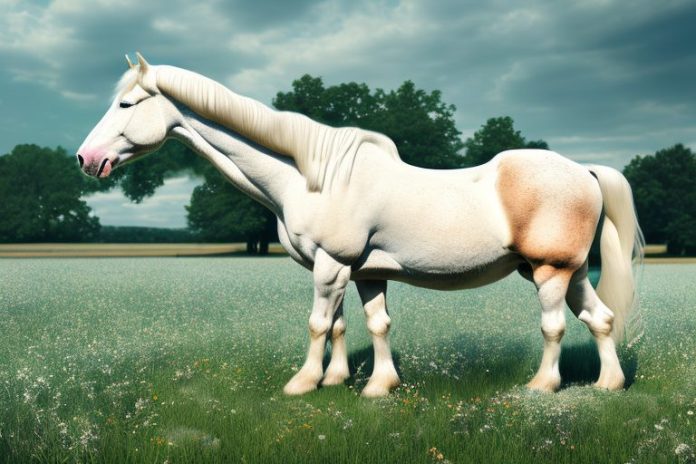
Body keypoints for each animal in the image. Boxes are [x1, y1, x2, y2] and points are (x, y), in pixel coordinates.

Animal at [78, 53, 643, 397]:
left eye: (126, 103)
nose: (87, 159)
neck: (314, 176)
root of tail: (584, 170)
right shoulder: (364, 271)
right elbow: (364, 325)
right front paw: (365, 385)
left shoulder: (330, 265)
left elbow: (318, 323)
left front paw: (303, 384)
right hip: (568, 274)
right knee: (601, 319)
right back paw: (608, 386)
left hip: (550, 272)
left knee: (554, 326)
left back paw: (541, 387)